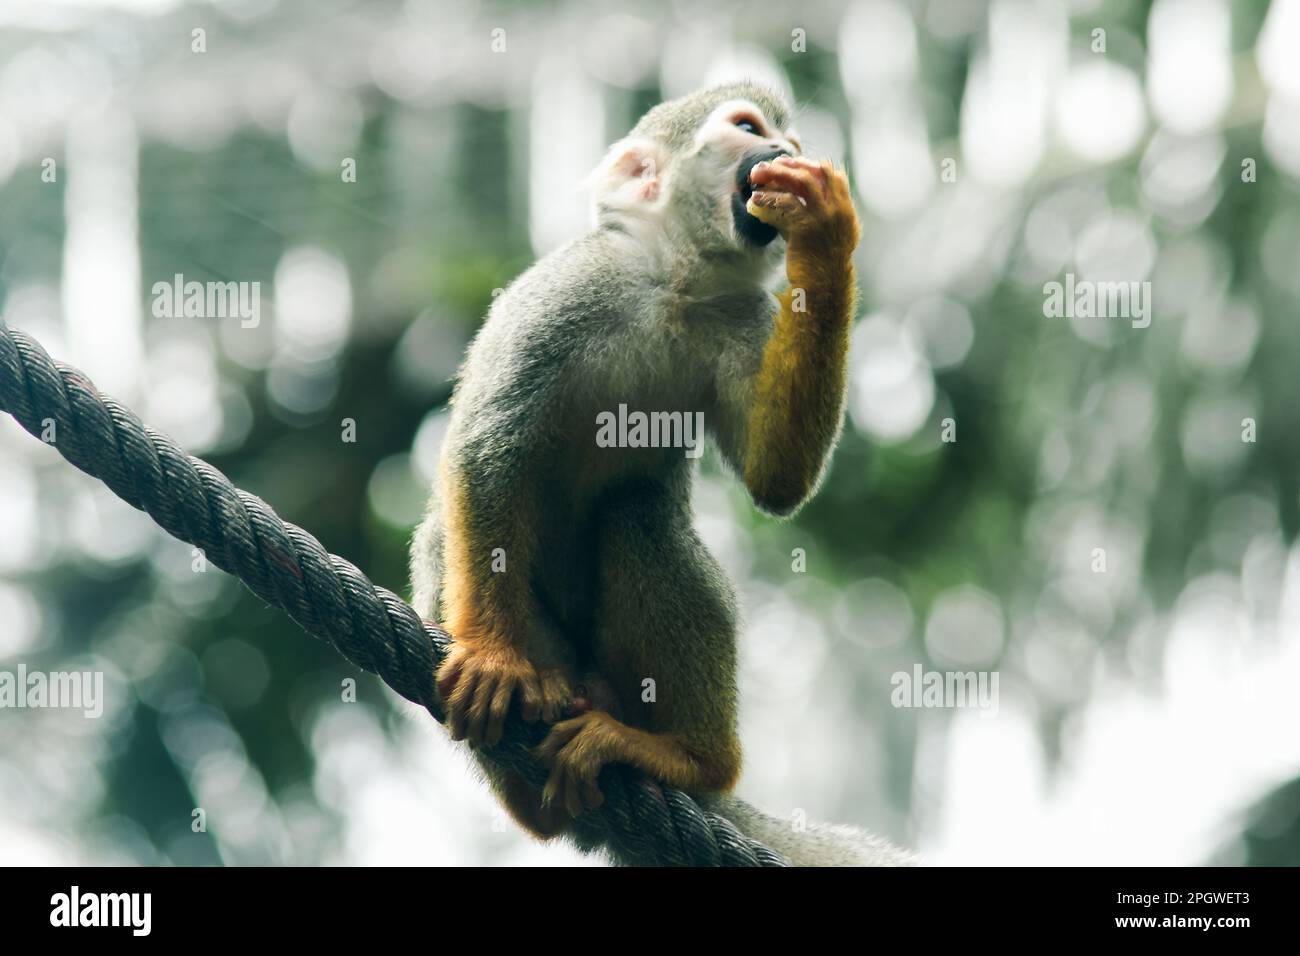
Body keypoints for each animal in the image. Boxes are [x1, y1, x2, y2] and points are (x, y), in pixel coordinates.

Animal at [413, 82, 915, 863]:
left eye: (791, 141)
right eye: (750, 127)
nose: (786, 152)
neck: (674, 283)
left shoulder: (746, 313)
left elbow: (776, 477)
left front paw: (825, 233)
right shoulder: (571, 287)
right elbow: (488, 444)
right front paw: (493, 659)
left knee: (638, 511)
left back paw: (690, 759)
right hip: (555, 657)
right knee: (453, 535)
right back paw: (536, 789)